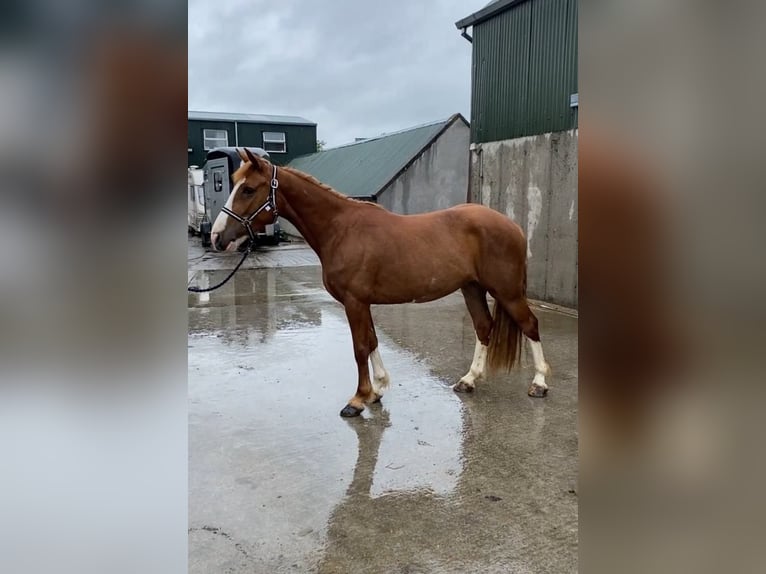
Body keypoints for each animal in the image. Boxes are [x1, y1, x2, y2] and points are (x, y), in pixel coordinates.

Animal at [210, 148, 552, 418]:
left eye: (248, 189)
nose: (216, 237)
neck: (340, 229)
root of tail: (513, 226)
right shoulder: (362, 303)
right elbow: (372, 341)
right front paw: (377, 390)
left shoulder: (354, 301)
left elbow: (360, 346)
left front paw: (358, 399)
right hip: (472, 288)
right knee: (484, 327)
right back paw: (468, 380)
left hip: (507, 291)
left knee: (530, 325)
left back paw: (539, 383)